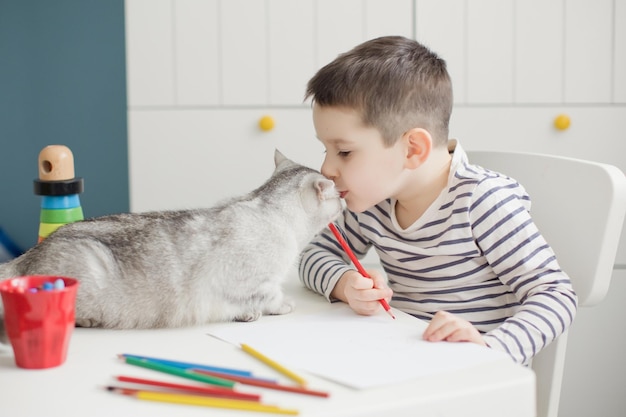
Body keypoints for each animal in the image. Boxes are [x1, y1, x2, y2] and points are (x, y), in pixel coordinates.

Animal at [0, 149, 342, 332]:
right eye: (337, 195)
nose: (344, 200)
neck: (268, 207)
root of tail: (27, 256)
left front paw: (247, 314)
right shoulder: (256, 283)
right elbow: (270, 298)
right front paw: (280, 306)